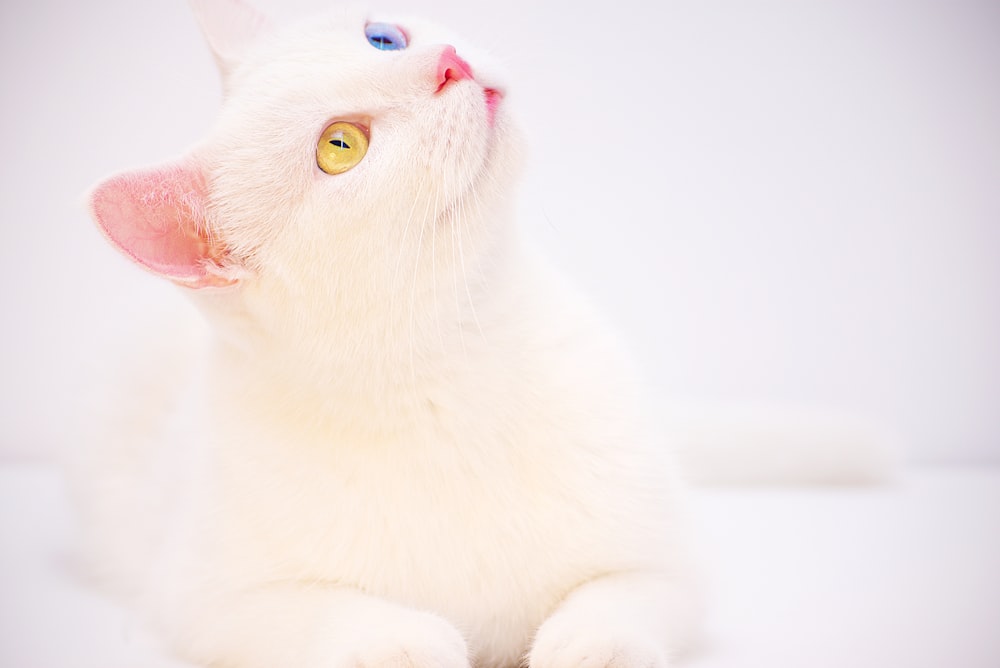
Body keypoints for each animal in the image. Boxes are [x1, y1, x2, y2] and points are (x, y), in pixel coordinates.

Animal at [76, 1, 892, 668]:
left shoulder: (670, 564)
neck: (458, 370)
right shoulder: (205, 603)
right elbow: (328, 616)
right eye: (341, 146)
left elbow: (622, 595)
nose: (449, 63)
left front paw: (586, 644)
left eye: (383, 36)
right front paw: (406, 642)